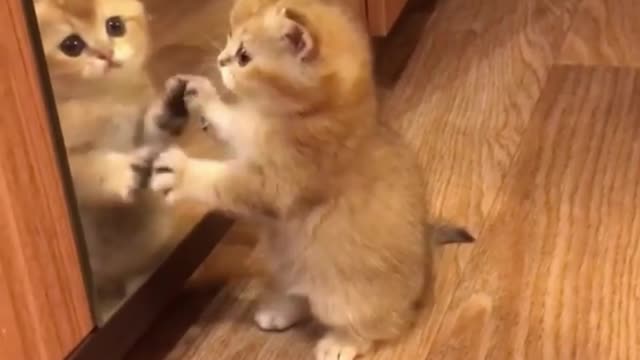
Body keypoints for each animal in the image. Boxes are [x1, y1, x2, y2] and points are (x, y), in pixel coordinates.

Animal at [35, 0, 186, 314]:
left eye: (115, 26)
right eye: (71, 45)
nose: (107, 54)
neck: (104, 99)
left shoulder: (139, 128)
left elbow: (151, 133)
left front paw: (167, 109)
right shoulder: (62, 166)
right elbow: (89, 167)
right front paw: (124, 172)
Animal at [149, 1, 470, 358]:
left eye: (244, 56)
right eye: (230, 37)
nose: (220, 59)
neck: (308, 116)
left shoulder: (278, 183)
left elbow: (224, 182)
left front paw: (181, 173)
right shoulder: (250, 131)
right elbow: (231, 120)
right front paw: (202, 93)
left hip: (344, 297)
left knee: (381, 324)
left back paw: (342, 342)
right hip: (286, 264)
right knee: (300, 294)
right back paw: (280, 310)